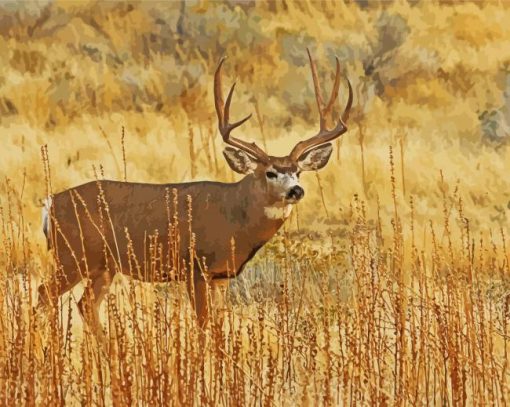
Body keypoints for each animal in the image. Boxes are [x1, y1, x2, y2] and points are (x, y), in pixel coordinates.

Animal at [38, 48, 350, 342]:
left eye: (298, 171)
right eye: (270, 172)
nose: (296, 190)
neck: (235, 220)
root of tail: (51, 204)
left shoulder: (222, 275)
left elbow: (218, 327)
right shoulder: (196, 267)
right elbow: (202, 325)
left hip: (102, 265)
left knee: (85, 305)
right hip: (73, 254)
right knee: (46, 293)